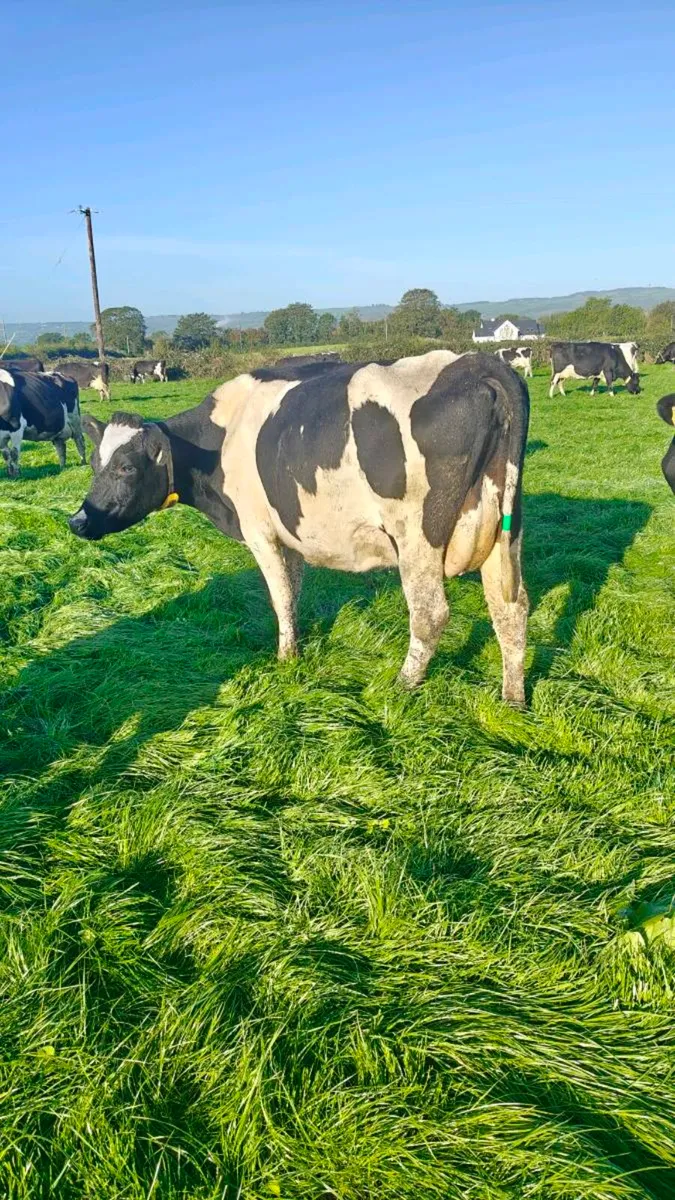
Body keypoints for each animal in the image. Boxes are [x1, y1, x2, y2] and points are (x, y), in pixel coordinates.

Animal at [69, 350, 530, 704]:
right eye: (94, 463)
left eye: (127, 467)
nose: (77, 521)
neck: (223, 438)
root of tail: (474, 362)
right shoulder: (291, 536)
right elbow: (293, 592)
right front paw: (299, 645)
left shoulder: (261, 534)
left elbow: (279, 598)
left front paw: (286, 657)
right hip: (506, 531)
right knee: (511, 608)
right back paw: (513, 699)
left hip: (417, 537)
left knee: (430, 613)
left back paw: (401, 685)